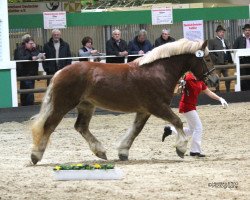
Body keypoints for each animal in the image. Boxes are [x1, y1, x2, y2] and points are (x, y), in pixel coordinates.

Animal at [30, 38, 215, 164]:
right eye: (207, 59)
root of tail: (59, 72)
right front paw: (181, 148)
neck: (157, 71)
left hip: (86, 105)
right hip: (63, 104)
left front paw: (123, 152)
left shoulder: (144, 110)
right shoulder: (157, 107)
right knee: (49, 126)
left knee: (81, 127)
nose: (213, 80)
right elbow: (177, 121)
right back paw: (35, 155)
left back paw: (100, 152)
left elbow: (136, 130)